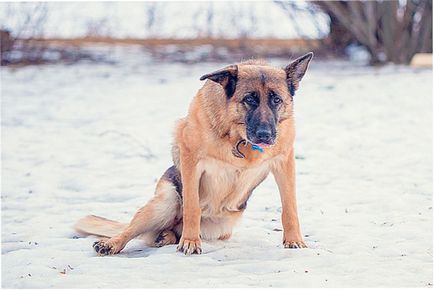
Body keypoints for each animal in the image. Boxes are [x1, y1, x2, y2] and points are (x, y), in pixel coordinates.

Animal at [73, 52, 312, 256]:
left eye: (276, 100)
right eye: (250, 99)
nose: (265, 135)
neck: (238, 139)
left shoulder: (284, 162)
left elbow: (289, 207)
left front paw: (294, 240)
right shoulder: (191, 160)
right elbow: (192, 207)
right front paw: (189, 242)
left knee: (165, 232)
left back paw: (166, 236)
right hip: (165, 203)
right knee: (132, 229)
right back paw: (112, 243)